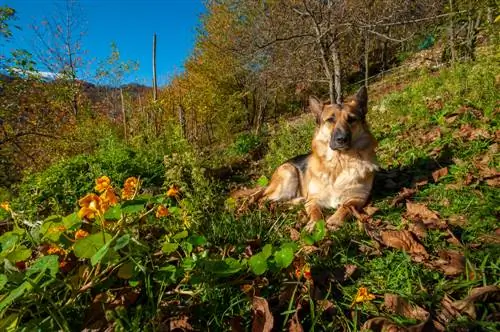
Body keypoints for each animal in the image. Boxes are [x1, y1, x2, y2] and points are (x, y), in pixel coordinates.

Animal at [244, 86, 376, 231]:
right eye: (330, 120)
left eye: (351, 119)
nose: (341, 139)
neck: (338, 163)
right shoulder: (313, 200)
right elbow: (315, 212)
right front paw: (314, 224)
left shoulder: (357, 198)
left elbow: (346, 207)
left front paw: (334, 220)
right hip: (288, 175)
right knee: (264, 199)